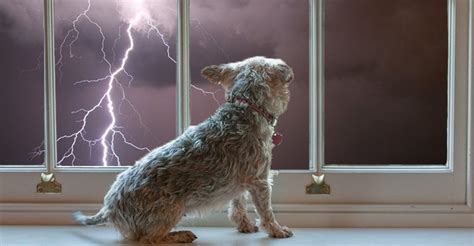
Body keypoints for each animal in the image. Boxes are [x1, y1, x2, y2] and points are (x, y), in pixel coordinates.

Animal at [72, 56, 294, 243]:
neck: (246, 107)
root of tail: (109, 208)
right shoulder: (260, 180)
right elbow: (266, 211)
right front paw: (277, 230)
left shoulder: (240, 182)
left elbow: (237, 205)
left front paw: (245, 226)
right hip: (172, 209)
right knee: (148, 239)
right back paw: (180, 235)